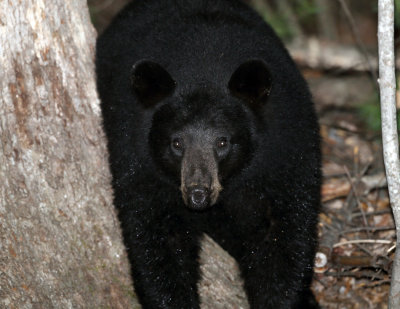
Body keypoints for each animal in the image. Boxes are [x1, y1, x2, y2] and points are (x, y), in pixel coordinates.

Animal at [95, 1, 320, 306]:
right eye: (177, 143)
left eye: (223, 142)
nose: (198, 193)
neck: (203, 69)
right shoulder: (139, 160)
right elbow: (156, 240)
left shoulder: (285, 151)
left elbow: (284, 237)